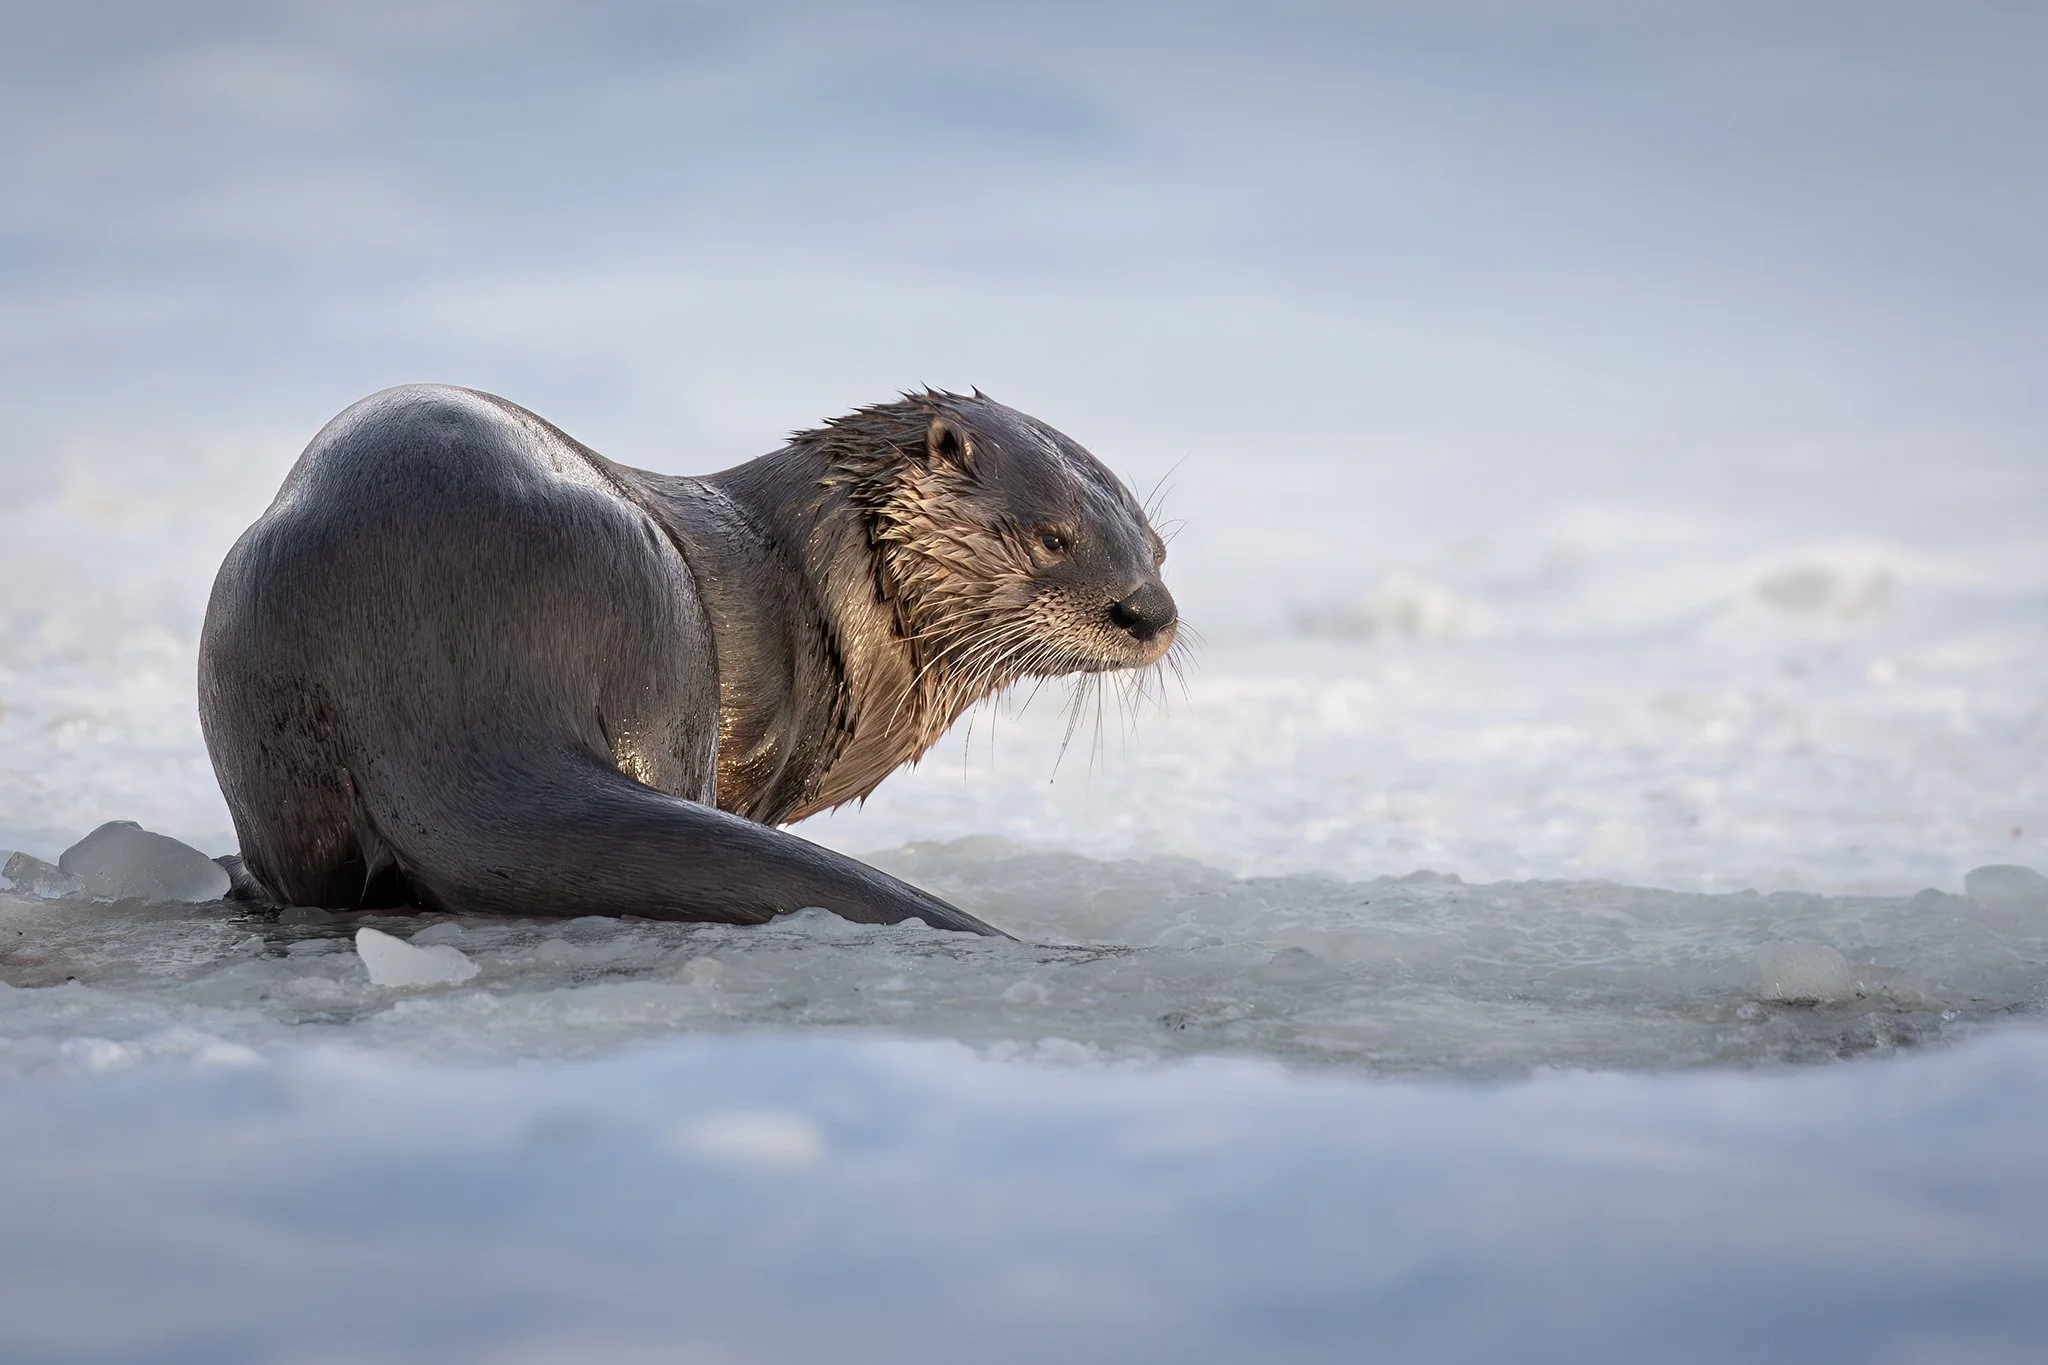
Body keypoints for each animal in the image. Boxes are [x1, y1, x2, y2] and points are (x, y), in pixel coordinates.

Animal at [198, 385, 1179, 935]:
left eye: (1159, 545)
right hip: (665, 639)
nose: (1151, 611)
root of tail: (449, 694)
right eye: (1052, 537)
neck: (817, 581)